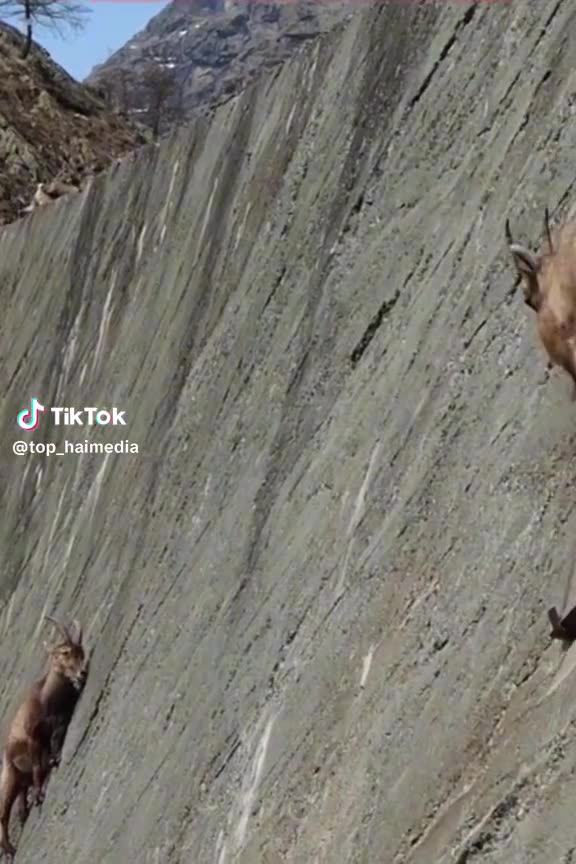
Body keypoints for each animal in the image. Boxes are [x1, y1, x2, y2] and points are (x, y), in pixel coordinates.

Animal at [0, 617, 88, 858]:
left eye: (81, 651)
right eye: (65, 652)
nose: (82, 673)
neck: (46, 698)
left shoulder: (59, 723)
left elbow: (54, 746)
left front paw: (55, 760)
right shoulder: (33, 738)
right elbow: (39, 767)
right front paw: (39, 794)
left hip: (19, 782)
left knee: (19, 804)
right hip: (9, 778)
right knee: (2, 815)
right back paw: (9, 849)